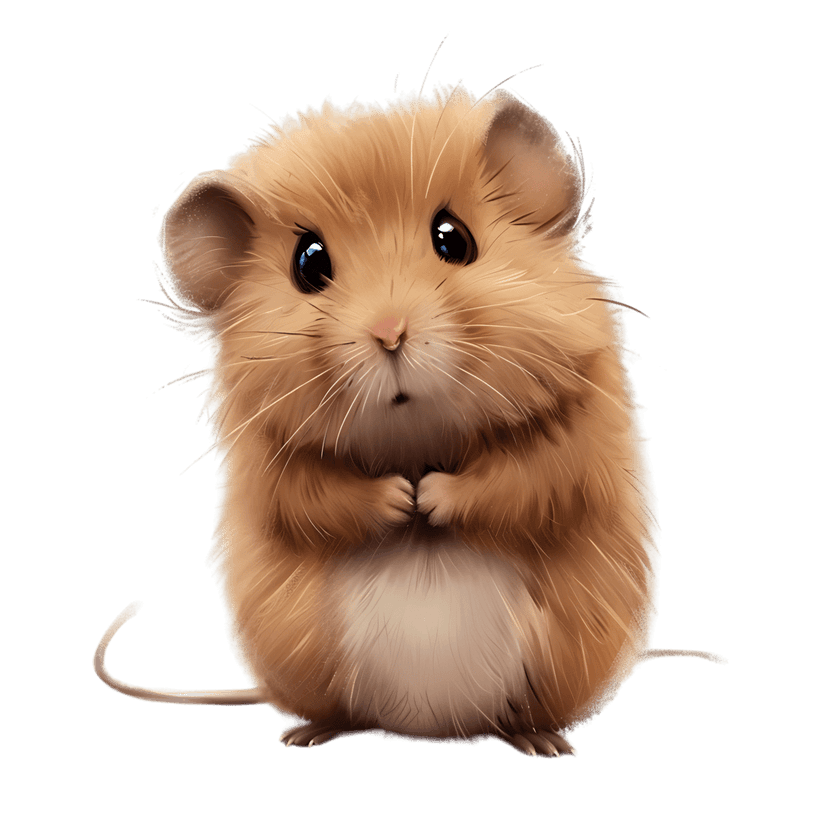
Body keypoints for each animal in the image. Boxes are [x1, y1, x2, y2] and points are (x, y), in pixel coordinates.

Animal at [93, 61, 726, 758]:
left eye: (454, 239)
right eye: (308, 263)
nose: (390, 333)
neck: (416, 435)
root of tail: (430, 728)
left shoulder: (576, 436)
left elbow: (522, 481)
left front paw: (429, 498)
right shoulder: (271, 461)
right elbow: (318, 497)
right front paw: (402, 499)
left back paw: (543, 742)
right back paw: (305, 734)